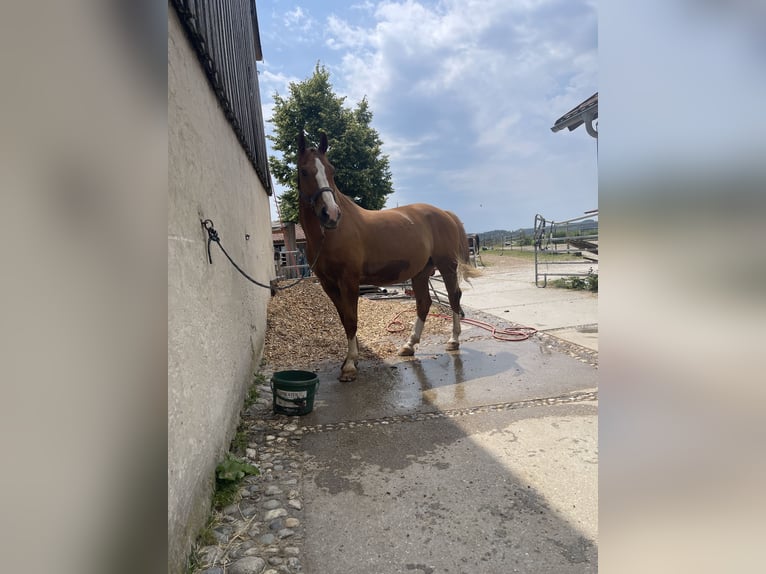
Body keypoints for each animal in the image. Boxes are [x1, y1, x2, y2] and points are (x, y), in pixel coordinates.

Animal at [298, 132, 484, 382]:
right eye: (304, 171)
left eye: (331, 170)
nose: (331, 214)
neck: (331, 234)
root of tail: (445, 213)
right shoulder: (329, 284)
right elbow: (344, 319)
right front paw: (350, 359)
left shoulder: (349, 281)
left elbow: (352, 319)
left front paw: (350, 365)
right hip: (421, 272)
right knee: (424, 303)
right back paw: (409, 345)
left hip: (447, 266)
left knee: (454, 296)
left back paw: (453, 340)